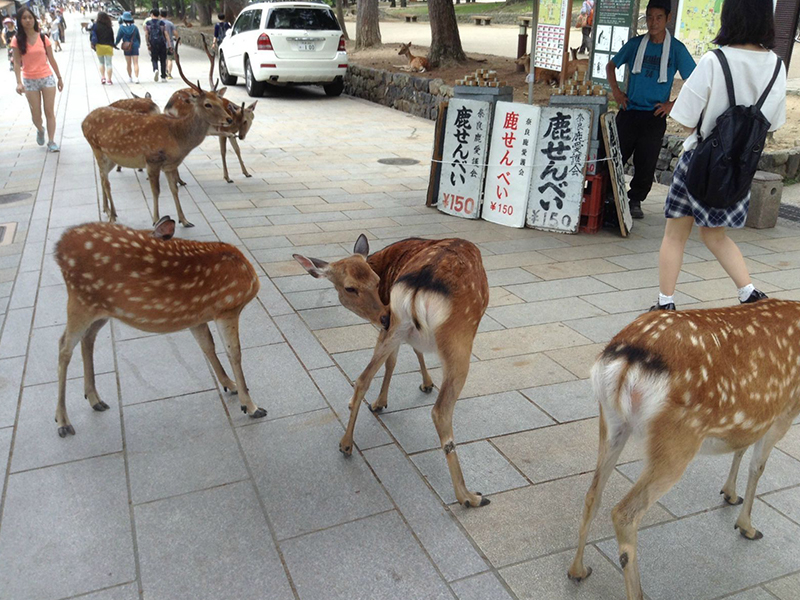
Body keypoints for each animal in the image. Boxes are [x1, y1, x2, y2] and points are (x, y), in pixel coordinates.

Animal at [54, 216, 266, 436]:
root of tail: (58, 248)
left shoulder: (197, 317)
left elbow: (207, 346)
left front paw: (230, 385)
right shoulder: (227, 308)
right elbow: (235, 353)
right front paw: (251, 406)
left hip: (102, 309)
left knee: (87, 338)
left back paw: (95, 399)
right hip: (80, 300)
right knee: (64, 346)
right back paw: (63, 421)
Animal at [81, 39, 230, 227]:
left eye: (220, 100)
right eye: (207, 104)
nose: (229, 119)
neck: (177, 137)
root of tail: (83, 122)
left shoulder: (170, 165)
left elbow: (174, 189)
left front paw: (184, 220)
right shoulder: (152, 160)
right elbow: (156, 191)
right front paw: (156, 220)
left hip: (111, 156)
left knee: (102, 177)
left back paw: (106, 210)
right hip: (97, 149)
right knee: (105, 180)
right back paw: (112, 215)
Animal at [296, 234, 490, 506]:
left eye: (377, 280)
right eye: (349, 288)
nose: (383, 315)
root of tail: (420, 284)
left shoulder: (392, 329)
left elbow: (398, 358)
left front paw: (385, 400)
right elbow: (403, 357)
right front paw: (422, 385)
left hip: (398, 324)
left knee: (362, 378)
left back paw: (346, 443)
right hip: (459, 337)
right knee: (440, 411)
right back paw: (469, 496)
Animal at [564, 300, 800, 600]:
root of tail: (627, 359)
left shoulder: (757, 417)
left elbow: (740, 448)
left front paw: (729, 493)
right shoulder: (786, 410)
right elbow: (757, 466)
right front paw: (747, 526)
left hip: (611, 421)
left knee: (593, 494)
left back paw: (577, 570)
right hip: (677, 439)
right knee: (625, 512)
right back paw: (637, 592)